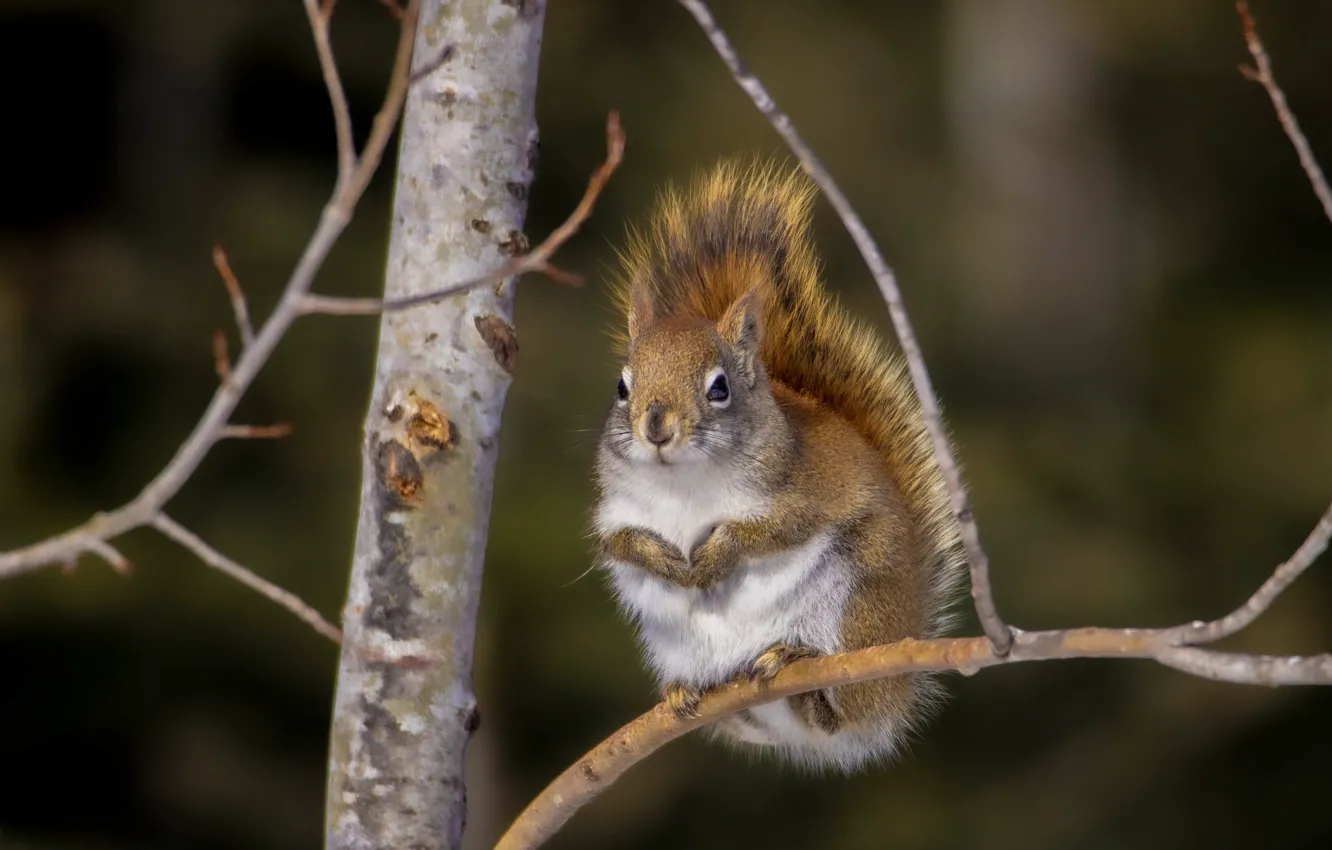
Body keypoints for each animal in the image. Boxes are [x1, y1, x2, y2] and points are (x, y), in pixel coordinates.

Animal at [592, 160, 964, 772]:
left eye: (719, 387)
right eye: (622, 387)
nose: (657, 427)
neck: (684, 483)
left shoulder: (805, 492)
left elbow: (770, 530)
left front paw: (713, 557)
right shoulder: (617, 509)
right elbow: (621, 543)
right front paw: (665, 560)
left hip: (856, 613)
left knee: (844, 713)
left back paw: (797, 666)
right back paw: (690, 690)